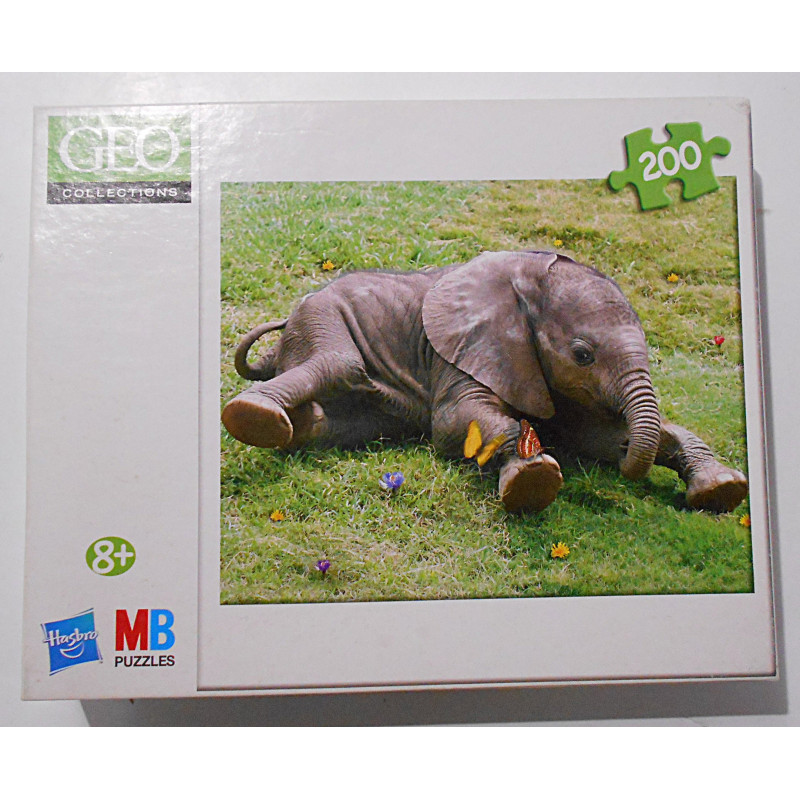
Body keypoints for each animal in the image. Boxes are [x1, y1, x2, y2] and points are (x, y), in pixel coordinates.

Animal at [221, 250, 748, 515]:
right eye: (583, 354)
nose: (626, 466)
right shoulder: (463, 352)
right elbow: (456, 423)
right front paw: (534, 482)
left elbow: (590, 436)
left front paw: (721, 489)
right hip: (322, 317)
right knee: (338, 362)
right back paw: (255, 415)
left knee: (337, 425)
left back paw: (300, 421)